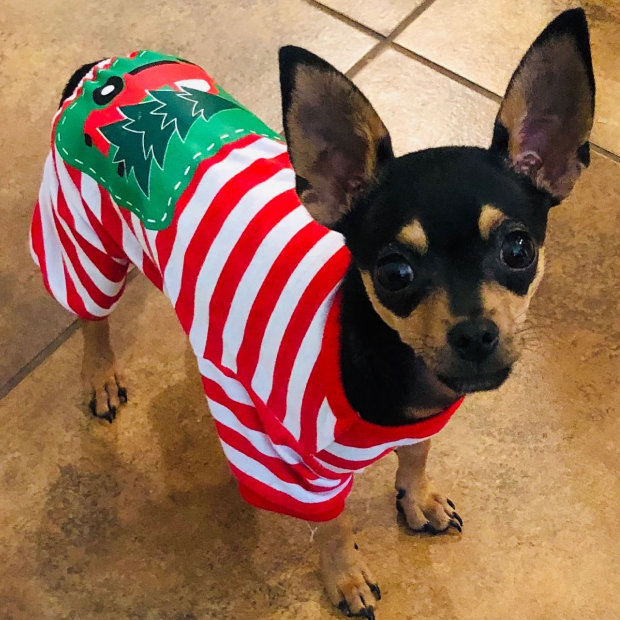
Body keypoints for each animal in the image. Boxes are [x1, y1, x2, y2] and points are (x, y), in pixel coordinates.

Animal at [31, 7, 592, 616]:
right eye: (395, 273)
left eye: (518, 250)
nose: (474, 335)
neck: (386, 363)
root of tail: (100, 70)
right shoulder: (291, 471)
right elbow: (333, 524)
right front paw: (344, 576)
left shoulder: (423, 423)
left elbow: (415, 454)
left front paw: (417, 497)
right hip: (83, 238)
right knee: (91, 317)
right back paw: (100, 375)